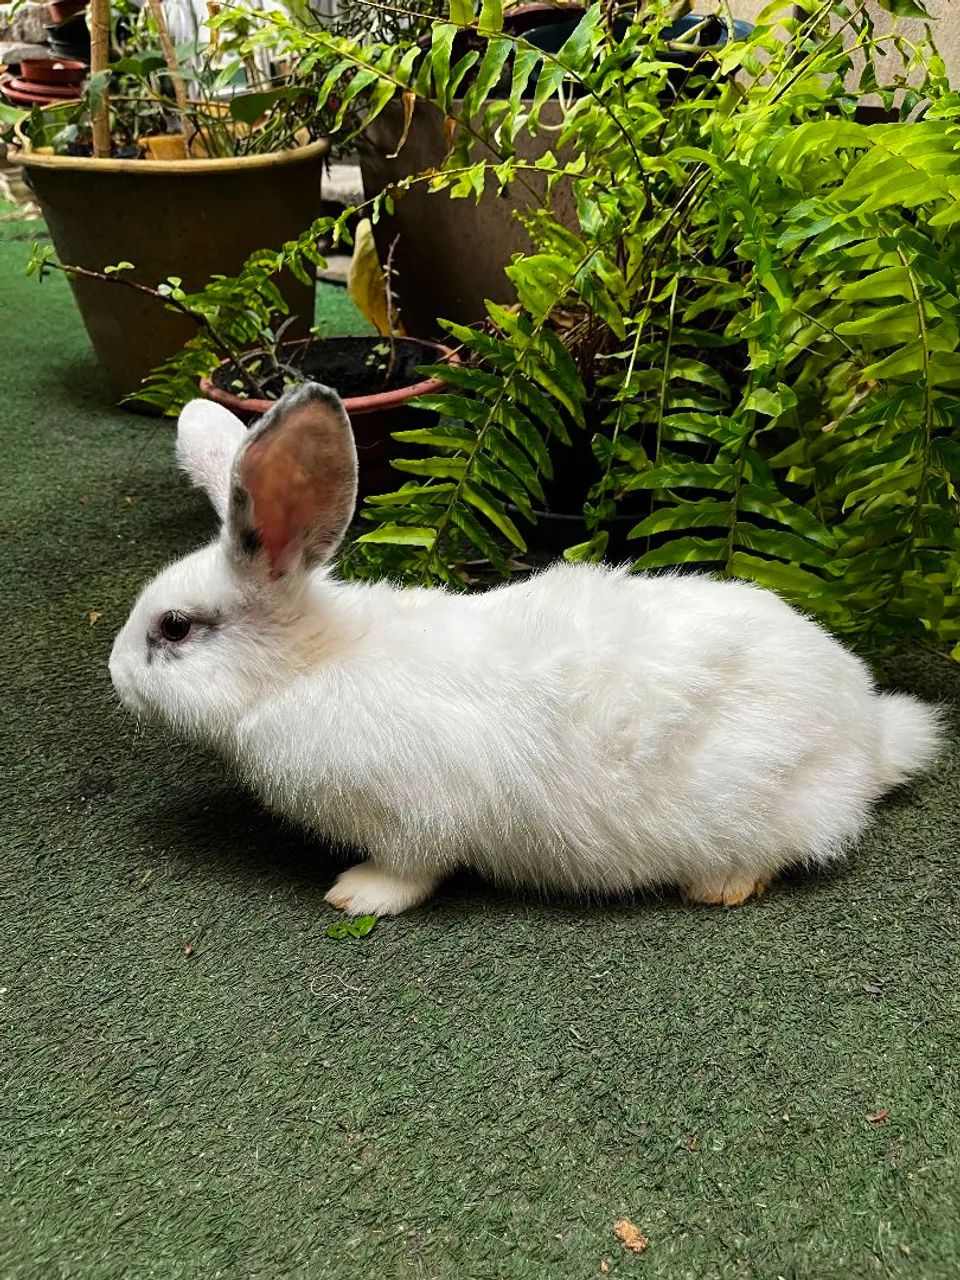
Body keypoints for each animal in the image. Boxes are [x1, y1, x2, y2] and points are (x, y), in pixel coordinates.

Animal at [109, 382, 943, 917]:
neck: (306, 667)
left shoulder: (416, 817)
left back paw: (719, 886)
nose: (114, 674)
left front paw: (355, 895)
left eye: (174, 628)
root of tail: (870, 734)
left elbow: (411, 871)